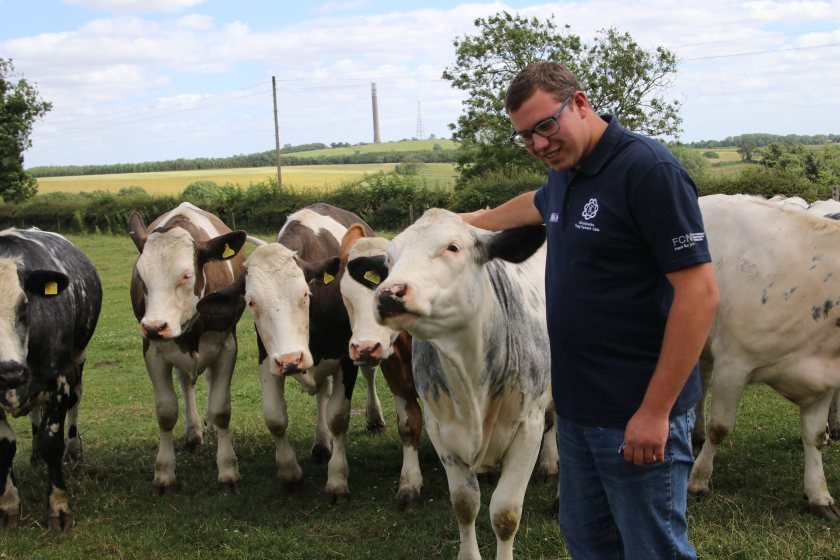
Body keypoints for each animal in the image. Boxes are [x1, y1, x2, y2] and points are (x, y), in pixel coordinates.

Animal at [0, 228, 101, 528]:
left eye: (24, 306)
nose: (9, 371)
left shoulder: (59, 381)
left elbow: (51, 441)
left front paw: (59, 507)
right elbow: (4, 446)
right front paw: (9, 505)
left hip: (78, 361)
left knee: (75, 403)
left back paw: (74, 450)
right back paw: (33, 454)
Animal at [127, 201, 246, 494]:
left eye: (186, 276)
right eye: (141, 277)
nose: (154, 326)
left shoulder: (227, 346)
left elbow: (222, 409)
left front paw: (228, 470)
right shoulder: (153, 351)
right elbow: (166, 412)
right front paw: (164, 473)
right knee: (186, 382)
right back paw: (193, 433)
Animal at [197, 202, 384, 504]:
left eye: (305, 294)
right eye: (251, 303)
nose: (291, 360)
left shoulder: (346, 359)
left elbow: (338, 418)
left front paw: (337, 480)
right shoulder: (268, 358)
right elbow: (275, 417)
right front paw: (289, 473)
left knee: (368, 374)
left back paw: (374, 418)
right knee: (322, 392)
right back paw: (320, 443)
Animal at [374, 209, 552, 560]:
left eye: (453, 247)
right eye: (389, 259)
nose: (388, 294)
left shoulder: (529, 428)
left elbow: (505, 513)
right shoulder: (440, 429)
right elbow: (465, 505)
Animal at [688, 195, 840, 524]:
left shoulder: (821, 375)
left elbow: (815, 435)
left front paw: (819, 495)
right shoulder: (733, 363)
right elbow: (720, 428)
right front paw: (698, 481)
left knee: (700, 385)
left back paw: (696, 433)